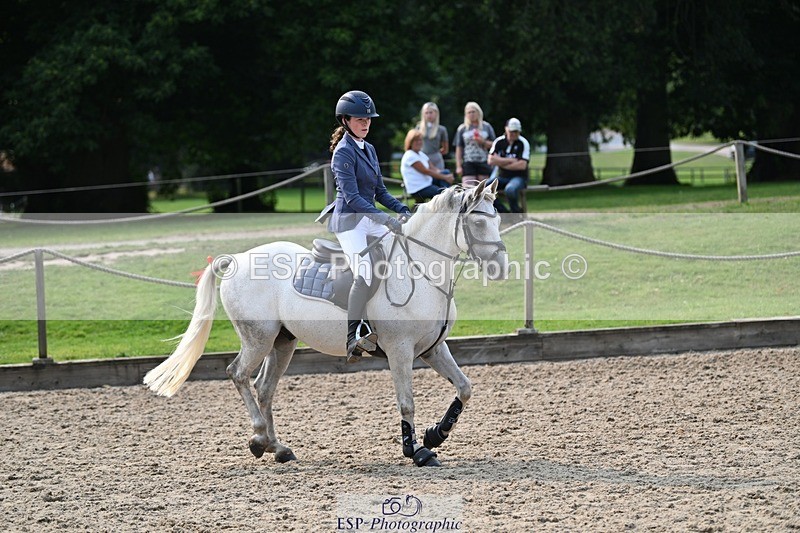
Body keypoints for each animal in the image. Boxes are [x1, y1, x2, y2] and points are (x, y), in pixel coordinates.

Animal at [144, 179, 508, 467]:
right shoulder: (400, 351)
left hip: (282, 342)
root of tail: (237, 259)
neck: (418, 269)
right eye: (478, 221)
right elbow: (407, 402)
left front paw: (435, 436)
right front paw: (416, 451)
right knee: (238, 374)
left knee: (264, 388)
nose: (500, 267)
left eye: (498, 218)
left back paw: (278, 448)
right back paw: (259, 439)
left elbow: (464, 387)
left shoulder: (433, 348)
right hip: (258, 338)